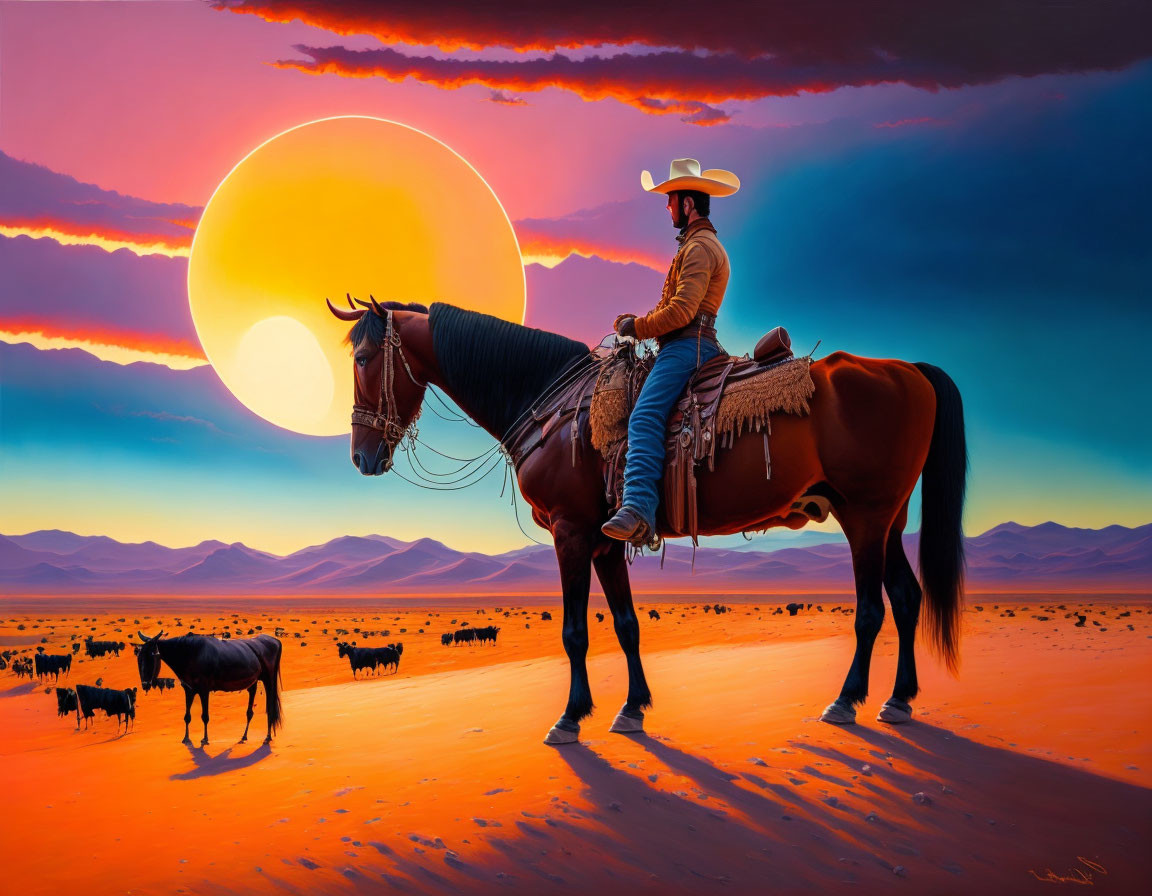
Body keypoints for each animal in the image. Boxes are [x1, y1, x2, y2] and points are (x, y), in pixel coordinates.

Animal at [329, 297, 967, 741]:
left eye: (362, 358)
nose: (361, 457)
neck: (548, 400)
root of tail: (910, 369)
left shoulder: (571, 532)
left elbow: (575, 631)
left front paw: (570, 718)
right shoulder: (607, 539)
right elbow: (627, 624)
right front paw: (632, 709)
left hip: (864, 515)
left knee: (872, 610)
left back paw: (846, 700)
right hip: (887, 518)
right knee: (907, 598)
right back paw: (899, 700)